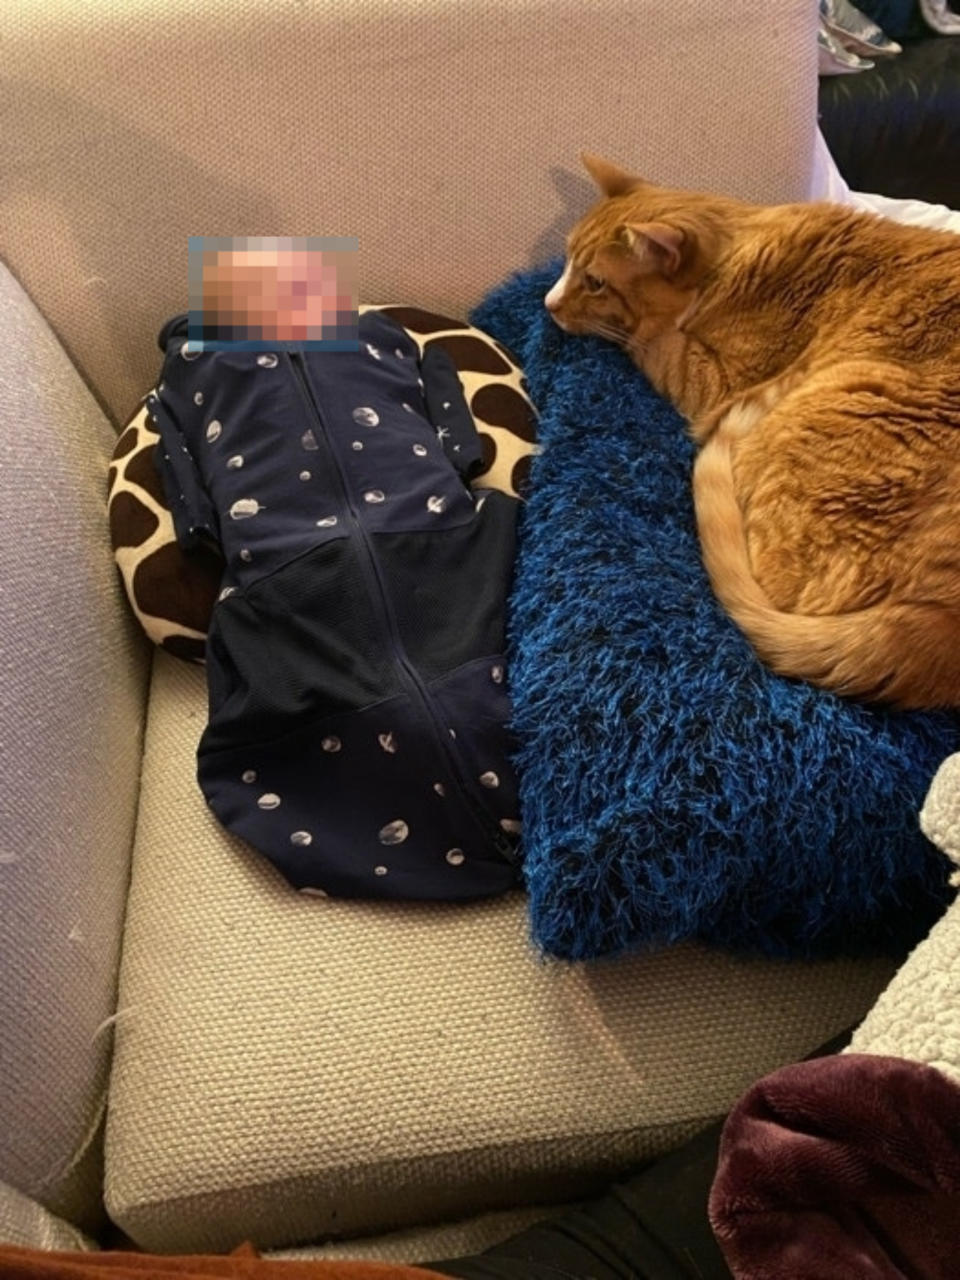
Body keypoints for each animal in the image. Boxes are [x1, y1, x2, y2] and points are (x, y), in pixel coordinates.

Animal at [547, 153, 960, 711]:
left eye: (593, 283)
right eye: (567, 260)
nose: (547, 303)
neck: (737, 252)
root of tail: (940, 622)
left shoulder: (710, 383)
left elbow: (652, 338)